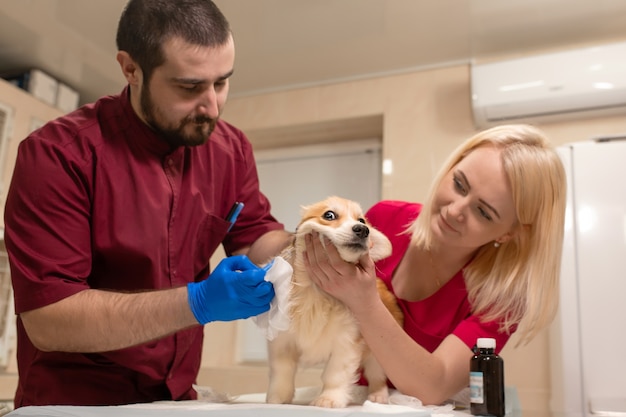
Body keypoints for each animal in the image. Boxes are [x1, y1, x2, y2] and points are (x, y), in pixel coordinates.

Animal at [264, 195, 402, 406]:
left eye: (361, 220)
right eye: (329, 215)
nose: (363, 230)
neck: (317, 292)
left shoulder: (346, 342)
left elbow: (335, 375)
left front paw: (329, 399)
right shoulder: (281, 341)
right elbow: (282, 372)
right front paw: (277, 399)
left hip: (377, 353)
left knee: (376, 374)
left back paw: (378, 396)